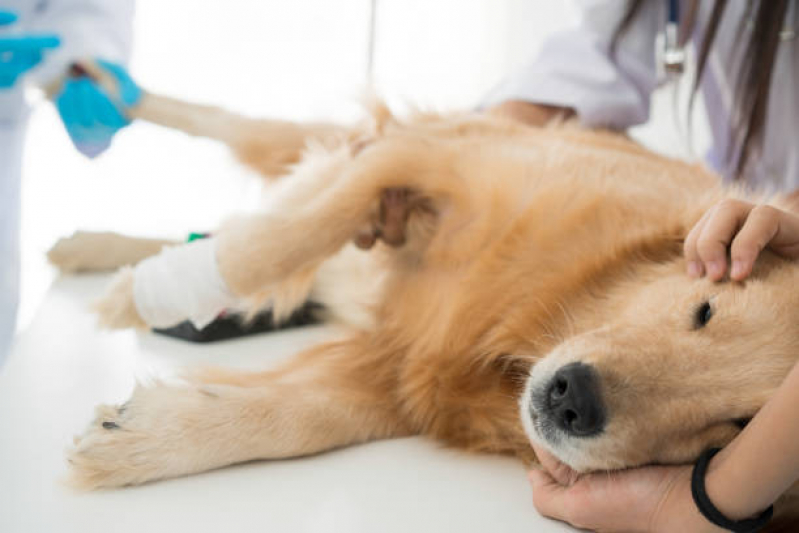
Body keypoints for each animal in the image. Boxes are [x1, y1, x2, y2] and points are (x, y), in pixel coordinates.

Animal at [50, 59, 799, 528]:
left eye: (733, 431)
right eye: (703, 309)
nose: (573, 400)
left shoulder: (404, 377)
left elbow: (305, 418)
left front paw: (142, 437)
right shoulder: (428, 155)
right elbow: (285, 237)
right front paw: (139, 300)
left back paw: (94, 247)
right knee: (227, 130)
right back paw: (96, 93)